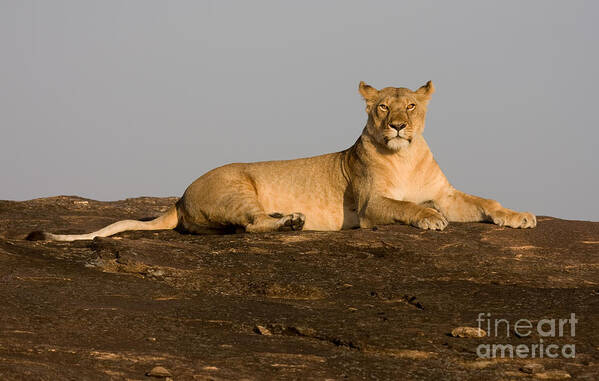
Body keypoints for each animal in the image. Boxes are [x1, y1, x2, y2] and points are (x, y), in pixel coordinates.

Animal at [28, 80, 536, 240]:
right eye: (380, 108)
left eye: (411, 106)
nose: (396, 127)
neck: (405, 156)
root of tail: (180, 195)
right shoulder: (370, 208)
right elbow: (405, 206)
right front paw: (429, 220)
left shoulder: (447, 193)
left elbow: (486, 201)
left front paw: (520, 216)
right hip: (237, 189)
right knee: (251, 226)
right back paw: (291, 223)